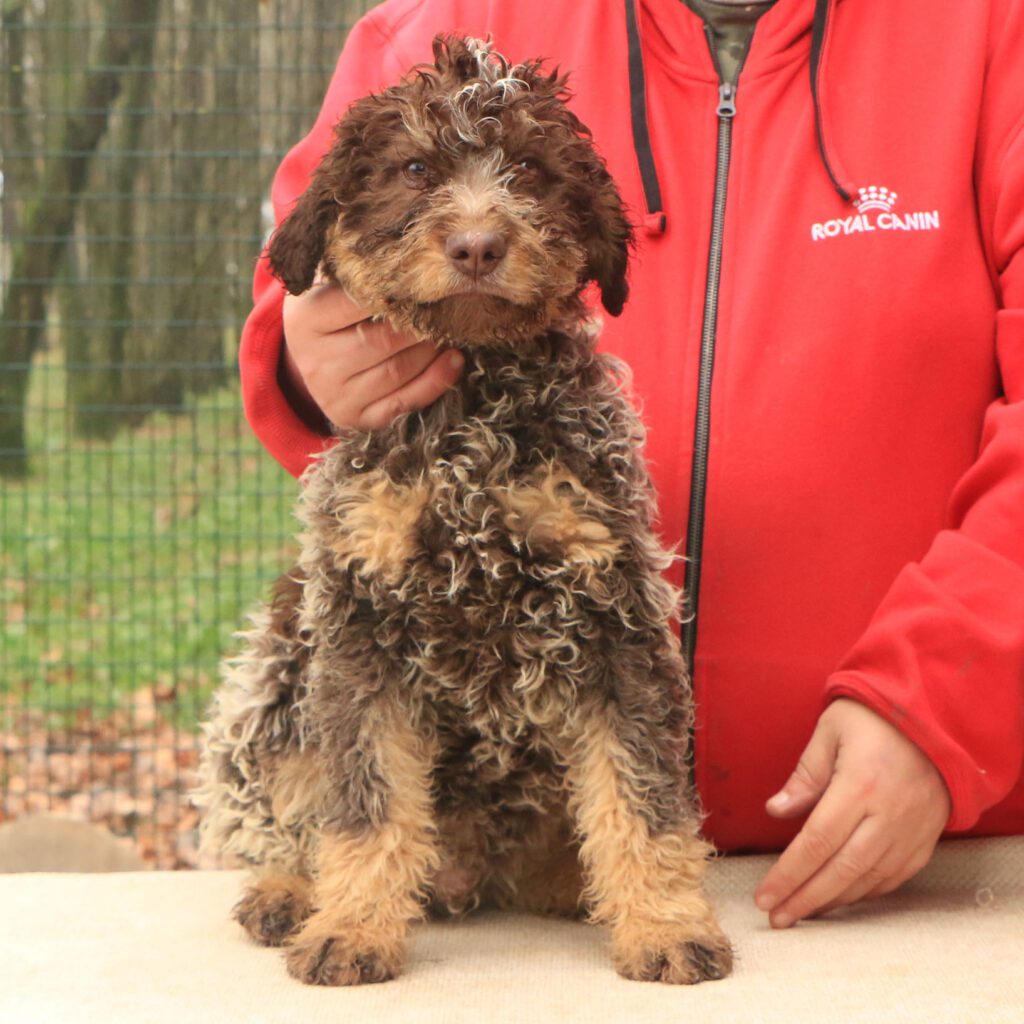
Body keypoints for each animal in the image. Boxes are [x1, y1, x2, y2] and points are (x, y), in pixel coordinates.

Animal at [192, 36, 733, 987]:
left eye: (530, 170)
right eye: (414, 169)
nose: (478, 245)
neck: (471, 418)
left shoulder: (614, 613)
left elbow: (641, 795)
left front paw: (665, 922)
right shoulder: (359, 624)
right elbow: (364, 801)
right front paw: (351, 925)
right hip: (285, 658)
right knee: (293, 801)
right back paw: (292, 889)